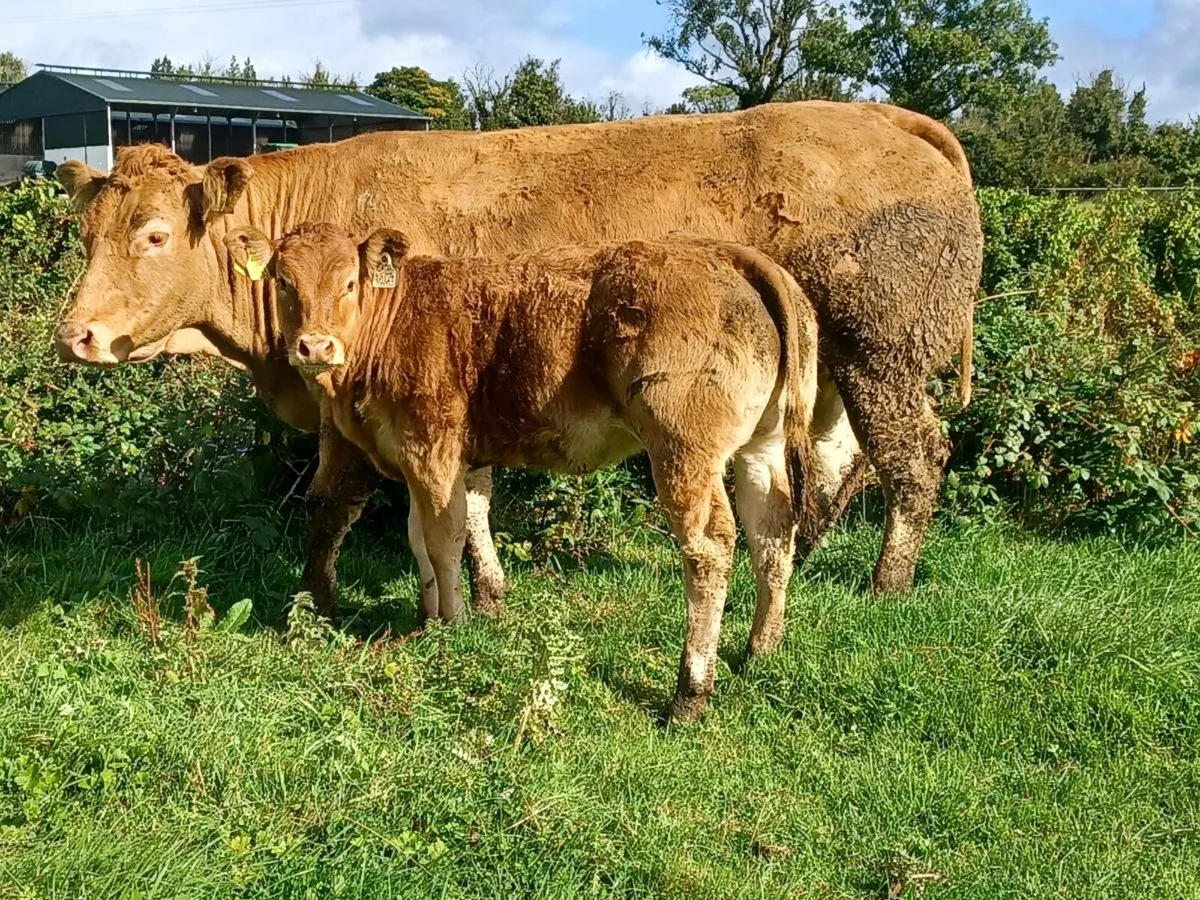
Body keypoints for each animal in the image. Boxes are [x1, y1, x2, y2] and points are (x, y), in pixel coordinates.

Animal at [52, 100, 982, 616]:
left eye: (153, 233)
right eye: (86, 233)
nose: (76, 335)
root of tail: (884, 116)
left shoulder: (360, 408)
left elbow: (335, 506)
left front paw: (317, 601)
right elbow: (470, 502)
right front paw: (489, 596)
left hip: (882, 352)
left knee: (913, 458)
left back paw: (885, 583)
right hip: (828, 375)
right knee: (831, 463)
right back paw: (810, 557)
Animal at [223, 221, 820, 721]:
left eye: (350, 282)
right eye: (282, 281)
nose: (314, 346)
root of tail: (726, 253)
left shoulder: (432, 449)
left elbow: (443, 536)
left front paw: (450, 623)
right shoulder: (427, 458)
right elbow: (420, 534)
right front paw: (426, 613)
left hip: (682, 448)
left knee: (710, 547)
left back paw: (690, 693)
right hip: (762, 446)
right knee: (772, 533)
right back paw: (760, 649)